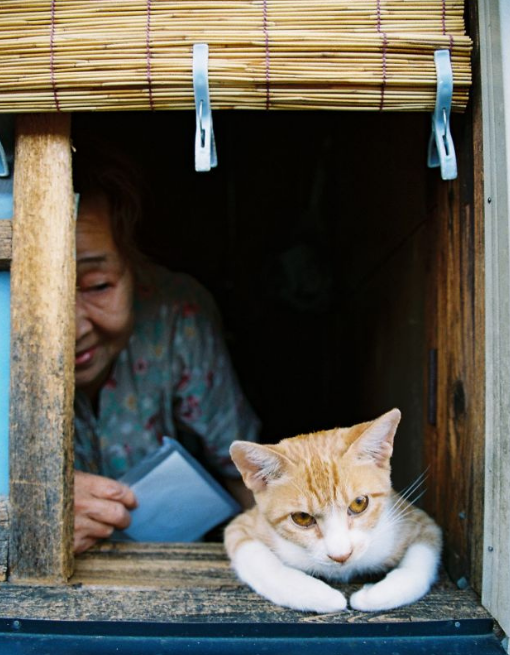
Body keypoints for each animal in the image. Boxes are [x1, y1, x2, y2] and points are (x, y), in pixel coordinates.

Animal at [225, 410, 440, 616]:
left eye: (359, 503)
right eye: (302, 517)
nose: (341, 556)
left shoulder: (415, 520)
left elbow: (421, 561)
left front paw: (375, 595)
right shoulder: (241, 526)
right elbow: (260, 562)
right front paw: (319, 596)